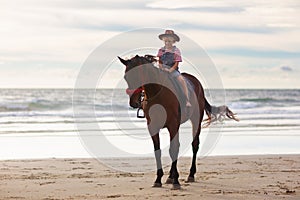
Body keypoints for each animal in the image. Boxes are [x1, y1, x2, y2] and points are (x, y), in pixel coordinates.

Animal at [118, 54, 238, 189]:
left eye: (137, 74)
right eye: (126, 76)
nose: (133, 102)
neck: (158, 93)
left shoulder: (173, 125)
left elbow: (173, 149)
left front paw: (176, 181)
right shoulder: (153, 127)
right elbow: (158, 151)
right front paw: (159, 179)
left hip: (195, 120)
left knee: (194, 145)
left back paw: (190, 175)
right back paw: (170, 177)